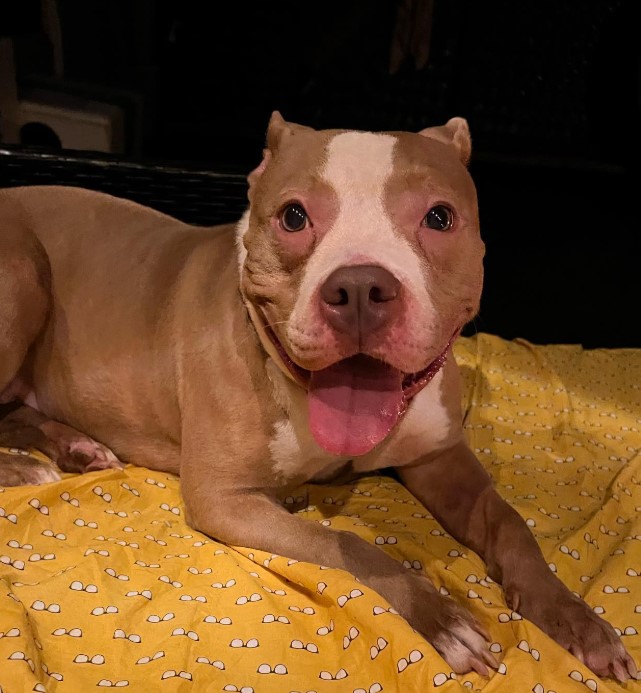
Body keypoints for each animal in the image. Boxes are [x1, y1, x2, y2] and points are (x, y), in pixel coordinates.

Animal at [0, 112, 636, 676]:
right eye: (293, 215)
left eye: (439, 217)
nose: (359, 287)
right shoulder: (224, 499)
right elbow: (350, 545)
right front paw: (440, 617)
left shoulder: (441, 458)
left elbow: (510, 523)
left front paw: (574, 618)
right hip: (22, 276)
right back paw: (29, 467)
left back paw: (73, 447)